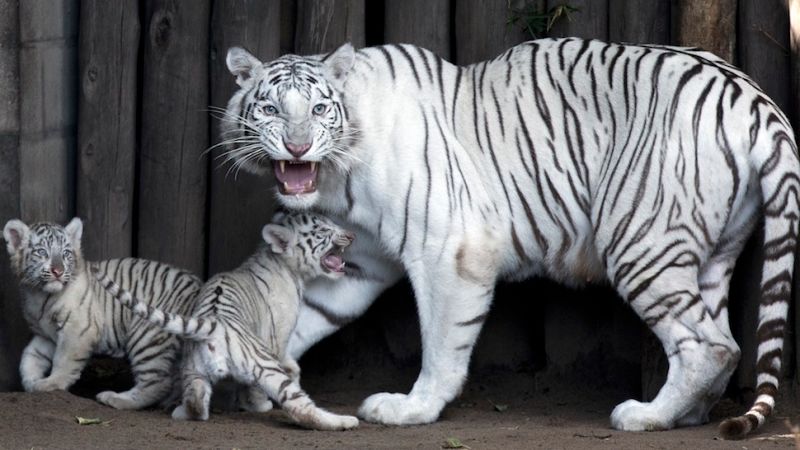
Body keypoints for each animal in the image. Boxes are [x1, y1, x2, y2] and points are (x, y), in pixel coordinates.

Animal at [2, 217, 202, 409]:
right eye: (42, 252)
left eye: (66, 253)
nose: (58, 272)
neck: (38, 293)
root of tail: (198, 289)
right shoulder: (46, 334)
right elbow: (30, 356)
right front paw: (30, 382)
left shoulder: (78, 329)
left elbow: (63, 360)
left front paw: (50, 384)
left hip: (147, 335)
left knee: (157, 382)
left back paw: (114, 399)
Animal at [95, 212, 359, 431]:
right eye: (323, 230)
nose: (351, 235)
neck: (285, 265)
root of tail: (213, 323)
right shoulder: (278, 338)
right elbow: (279, 366)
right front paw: (261, 403)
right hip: (262, 364)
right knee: (299, 406)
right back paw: (344, 421)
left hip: (193, 369)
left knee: (195, 402)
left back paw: (179, 411)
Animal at [220, 38, 799, 439]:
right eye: (270, 109)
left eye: (319, 109)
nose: (297, 146)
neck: (336, 176)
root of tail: (755, 98)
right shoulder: (361, 263)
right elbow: (301, 321)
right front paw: (257, 379)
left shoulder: (451, 247)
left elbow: (442, 343)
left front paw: (413, 408)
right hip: (713, 252)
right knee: (725, 340)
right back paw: (689, 413)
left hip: (640, 241)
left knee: (710, 344)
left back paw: (647, 415)